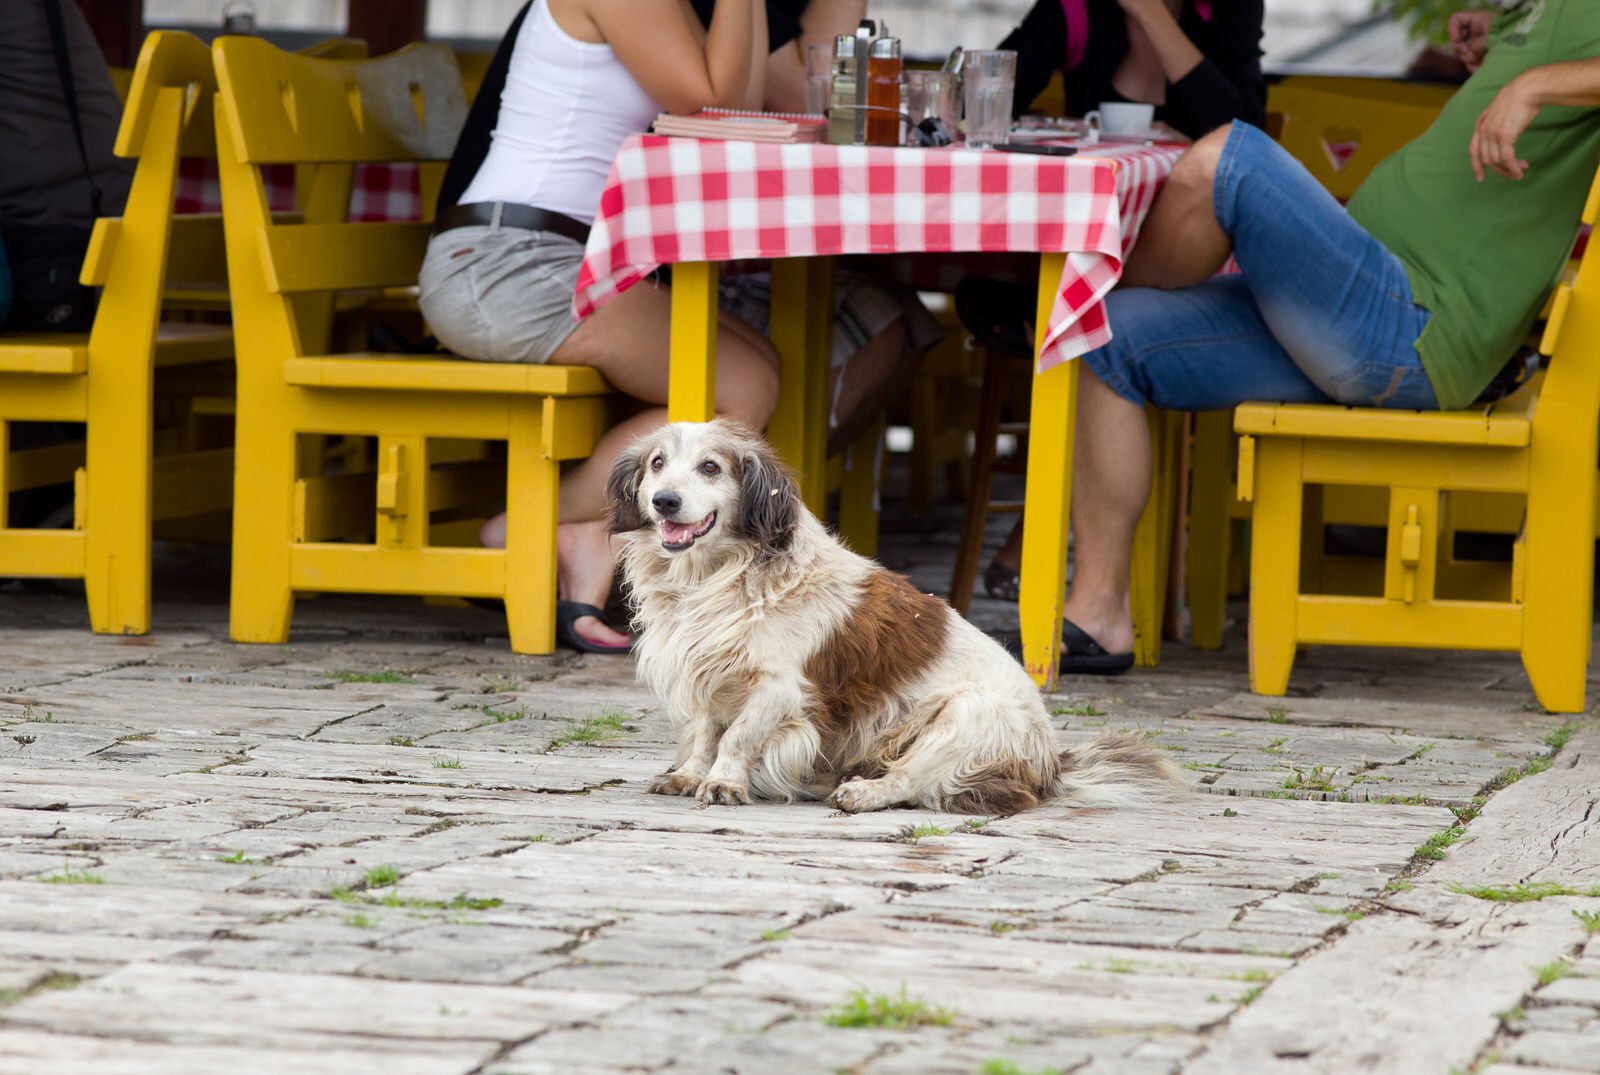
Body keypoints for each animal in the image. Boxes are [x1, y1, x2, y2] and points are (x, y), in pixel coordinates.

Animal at [604, 419, 1184, 815]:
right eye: (657, 464)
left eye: (711, 467)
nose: (664, 501)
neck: (715, 580)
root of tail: (1050, 762)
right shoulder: (705, 671)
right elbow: (705, 732)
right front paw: (690, 774)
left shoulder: (778, 688)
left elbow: (738, 736)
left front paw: (724, 782)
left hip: (961, 715)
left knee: (914, 783)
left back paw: (863, 791)